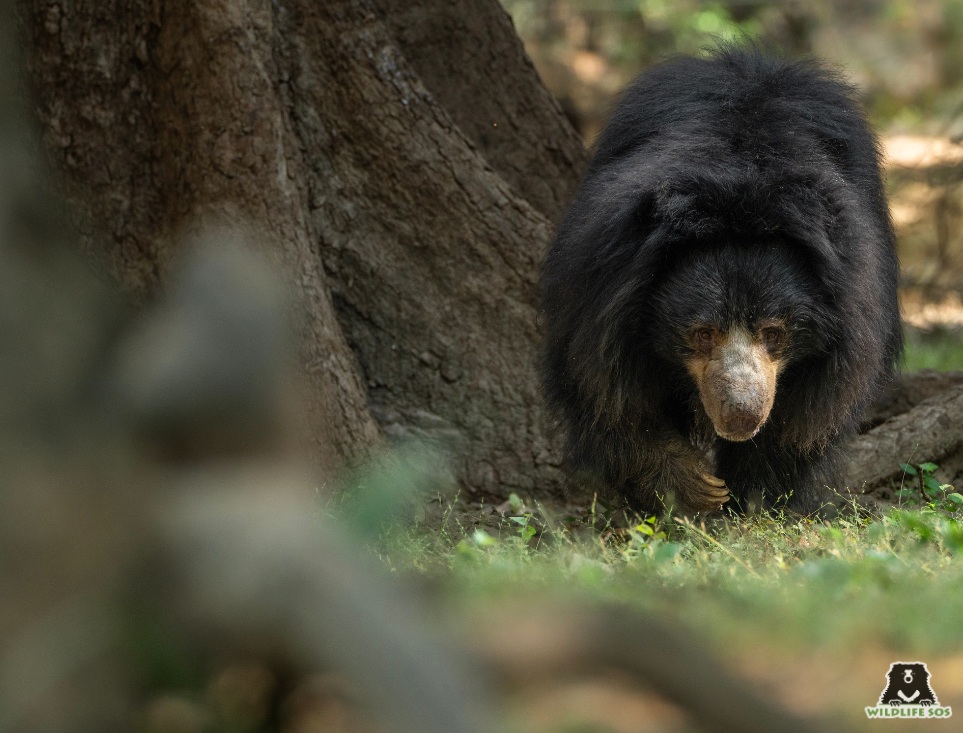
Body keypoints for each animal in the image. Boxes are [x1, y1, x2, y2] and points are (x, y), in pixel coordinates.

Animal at [544, 48, 904, 516]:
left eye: (774, 332)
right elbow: (609, 395)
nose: (741, 416)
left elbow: (812, 413)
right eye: (701, 333)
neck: (742, 187)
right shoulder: (600, 294)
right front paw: (693, 487)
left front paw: (757, 499)